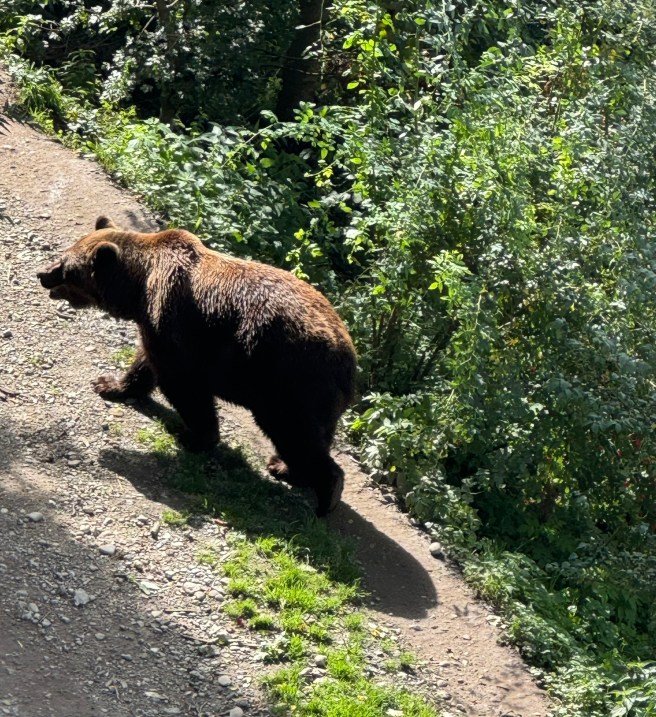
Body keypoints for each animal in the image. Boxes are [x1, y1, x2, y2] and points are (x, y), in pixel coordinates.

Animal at [37, 216, 357, 515]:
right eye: (64, 254)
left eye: (65, 266)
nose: (42, 273)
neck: (139, 289)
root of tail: (349, 363)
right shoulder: (156, 330)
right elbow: (145, 364)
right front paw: (110, 384)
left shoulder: (175, 325)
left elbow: (183, 385)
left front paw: (194, 436)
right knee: (312, 437)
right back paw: (286, 468)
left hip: (288, 380)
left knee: (293, 433)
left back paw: (325, 491)